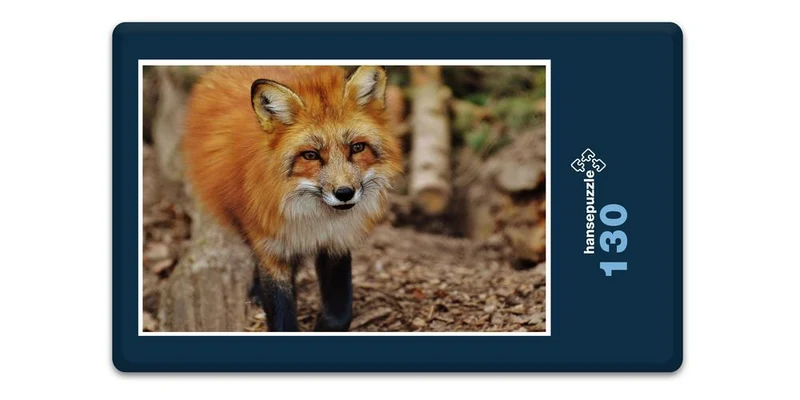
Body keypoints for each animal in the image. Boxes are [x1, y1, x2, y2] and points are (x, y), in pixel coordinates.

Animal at [182, 66, 402, 332]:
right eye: (311, 155)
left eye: (357, 148)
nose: (344, 193)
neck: (314, 218)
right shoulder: (271, 246)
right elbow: (280, 311)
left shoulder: (336, 241)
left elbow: (339, 313)